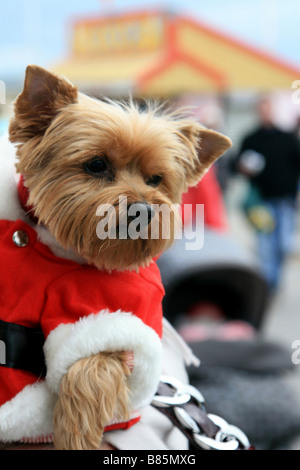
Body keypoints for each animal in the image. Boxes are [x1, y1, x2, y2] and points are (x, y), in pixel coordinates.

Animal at [0, 65, 231, 448]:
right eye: (96, 164)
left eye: (156, 179)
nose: (143, 209)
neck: (60, 247)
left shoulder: (119, 311)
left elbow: (91, 365)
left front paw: (75, 436)